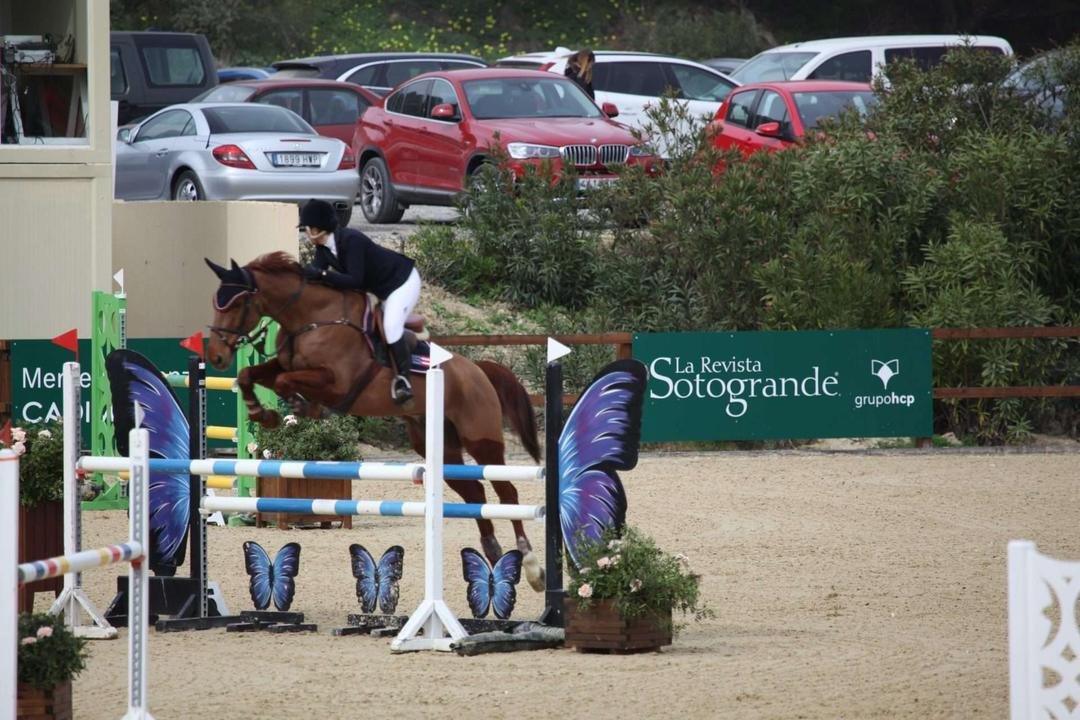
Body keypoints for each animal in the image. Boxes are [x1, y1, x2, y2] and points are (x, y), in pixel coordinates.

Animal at [203, 253, 548, 591]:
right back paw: (493, 551)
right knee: (475, 493)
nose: (216, 357)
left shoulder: (336, 383)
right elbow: (250, 374)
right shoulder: (284, 364)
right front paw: (262, 413)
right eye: (215, 302)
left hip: (481, 439)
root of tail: (478, 370)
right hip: (437, 445)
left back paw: (532, 567)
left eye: (236, 304)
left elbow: (285, 381)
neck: (310, 318)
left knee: (507, 494)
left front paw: (301, 407)